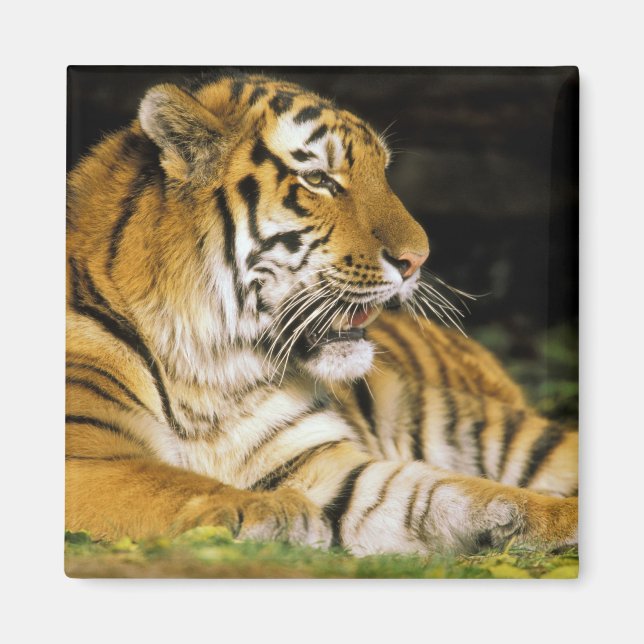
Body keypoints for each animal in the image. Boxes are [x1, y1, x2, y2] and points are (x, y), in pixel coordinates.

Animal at [66, 73, 578, 558]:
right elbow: (171, 484)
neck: (214, 372)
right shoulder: (87, 458)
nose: (418, 259)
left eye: (382, 173)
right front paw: (273, 510)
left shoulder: (322, 465)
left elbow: (460, 493)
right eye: (318, 179)